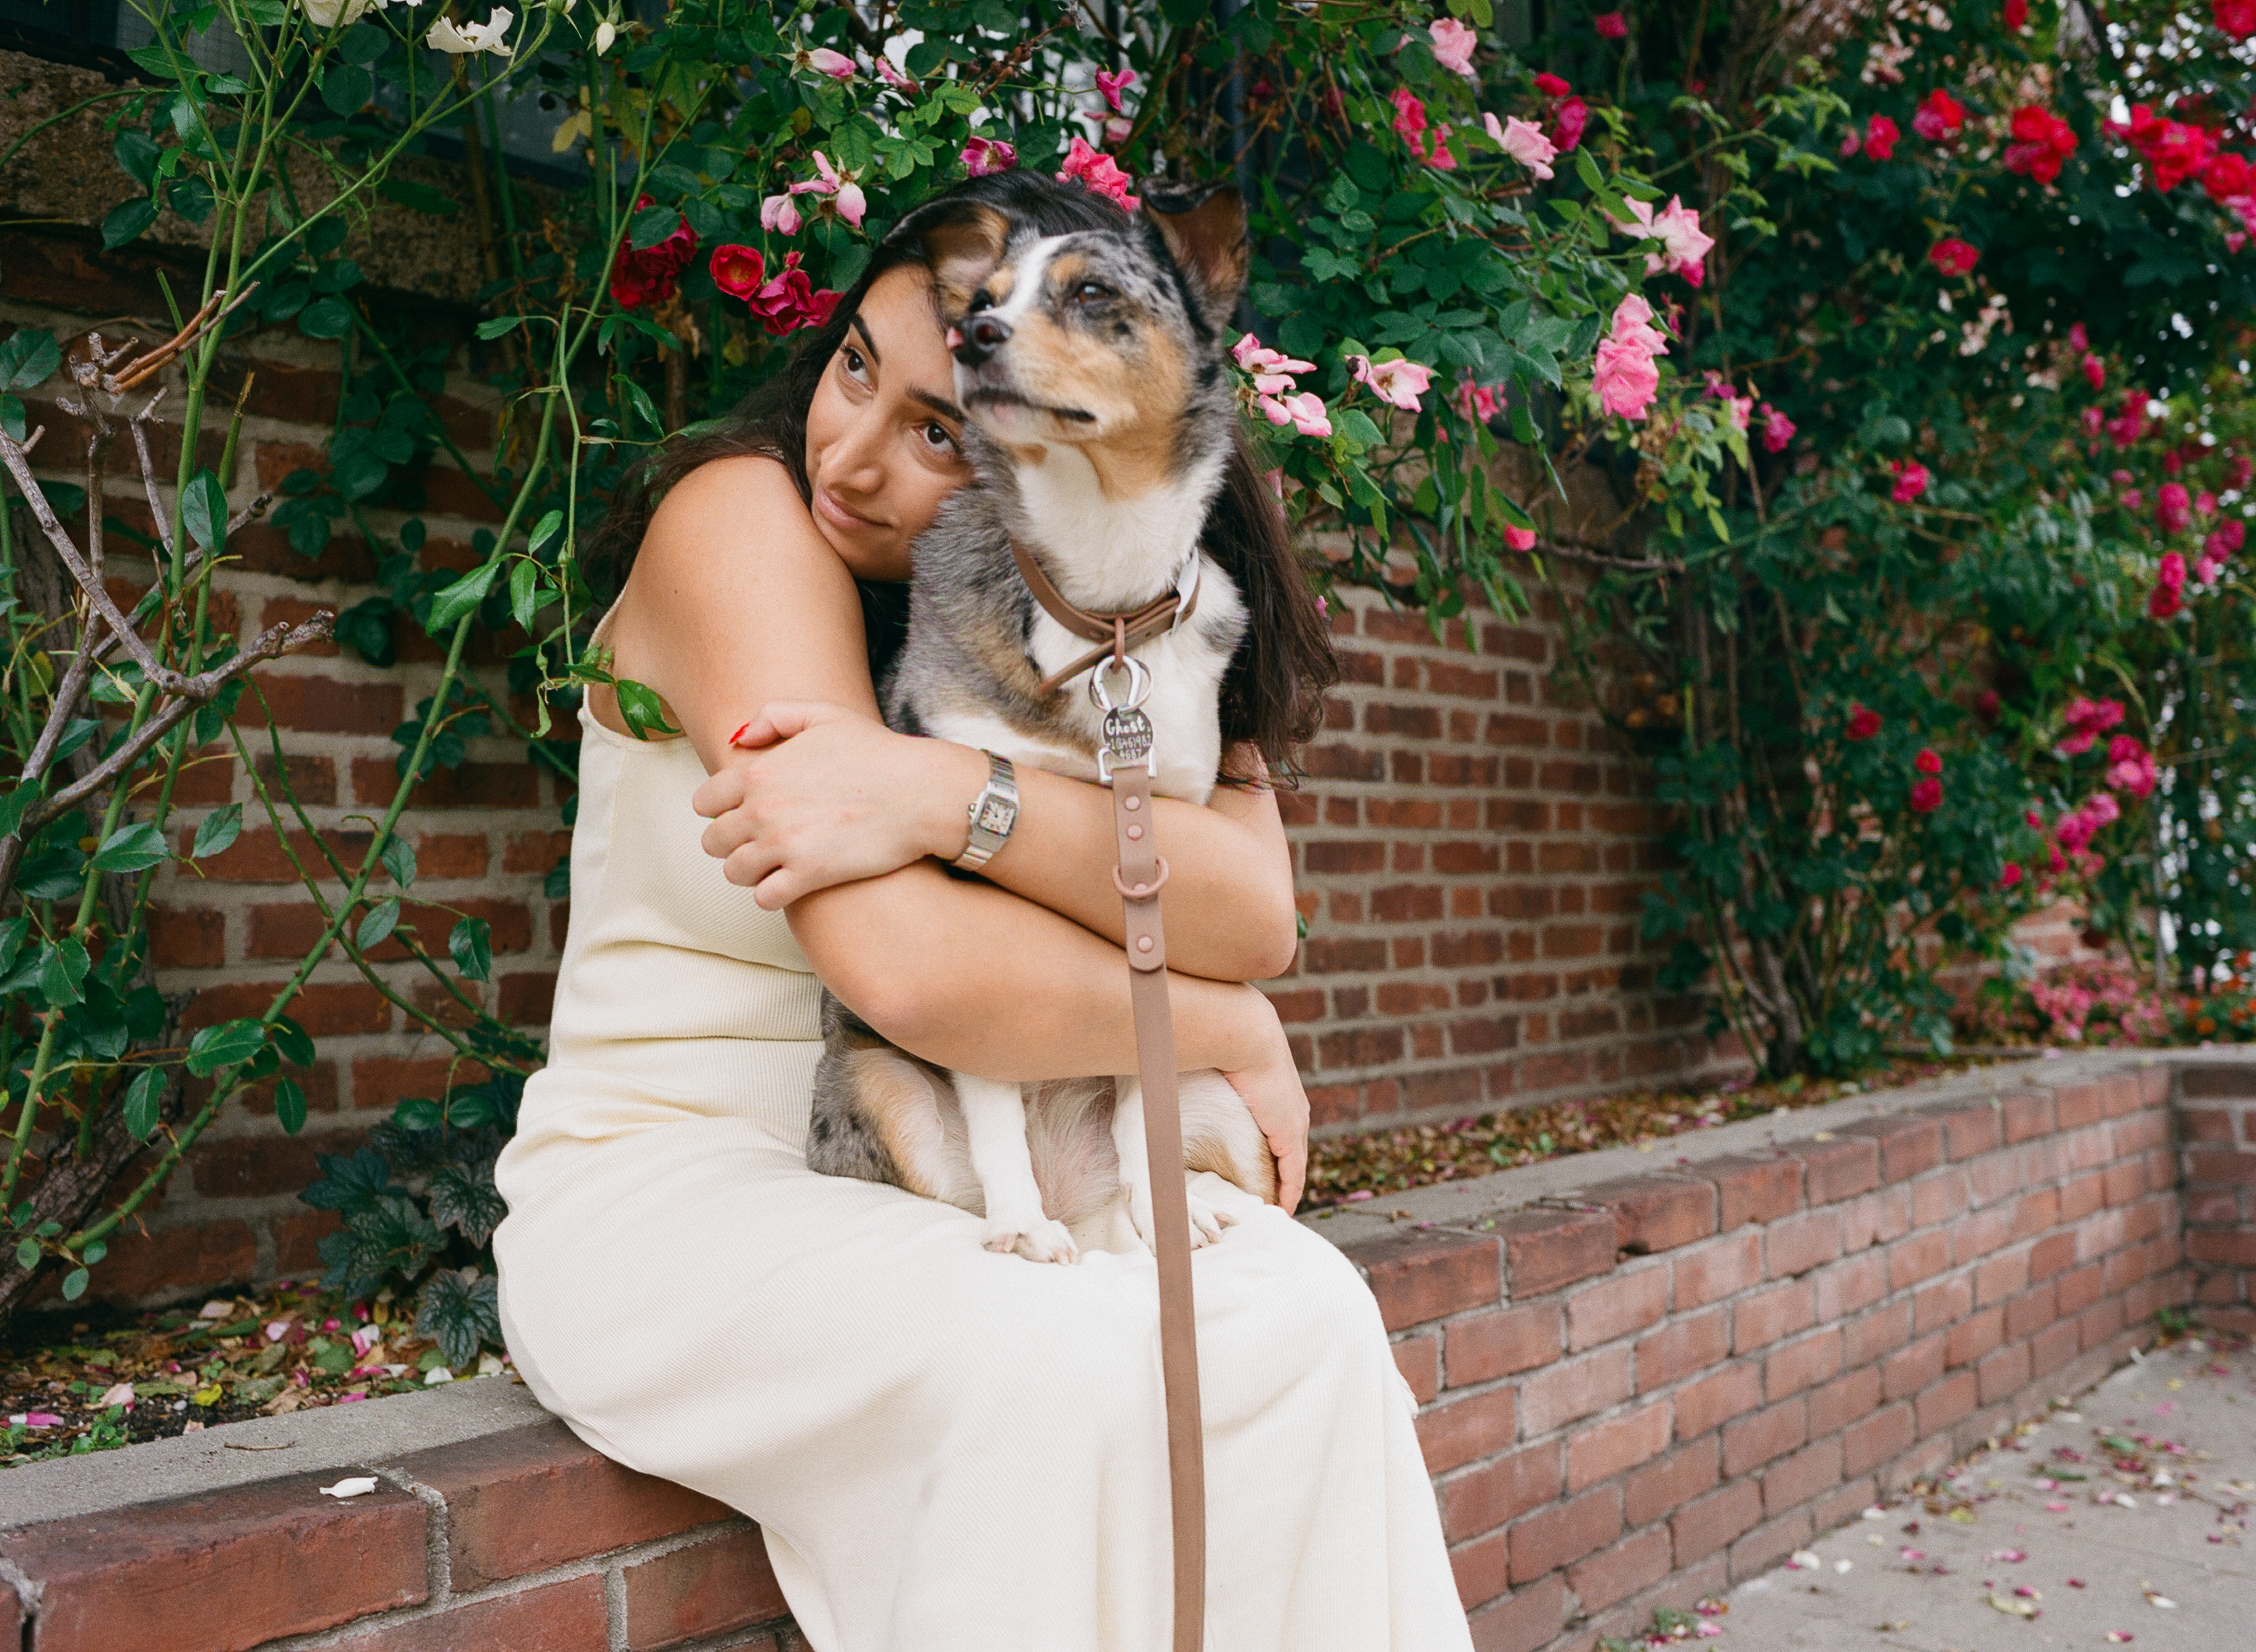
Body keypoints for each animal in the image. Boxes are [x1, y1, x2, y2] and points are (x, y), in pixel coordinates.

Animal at [804, 177, 1279, 1263]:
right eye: (980, 297)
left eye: (1092, 291)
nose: (972, 335)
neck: (1104, 605)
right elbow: (991, 1095)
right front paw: (1020, 1220)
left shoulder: (1161, 879)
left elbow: (1138, 1082)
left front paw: (1163, 1205)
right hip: (877, 1081)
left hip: (1231, 1111)